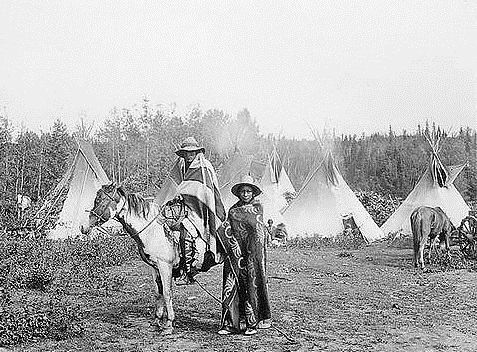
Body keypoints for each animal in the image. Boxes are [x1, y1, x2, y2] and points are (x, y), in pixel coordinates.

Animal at [79, 183, 185, 334]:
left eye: (99, 200)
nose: (83, 226)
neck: (153, 230)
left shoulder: (165, 265)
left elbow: (167, 293)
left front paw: (169, 324)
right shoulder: (155, 267)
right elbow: (158, 292)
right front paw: (157, 321)